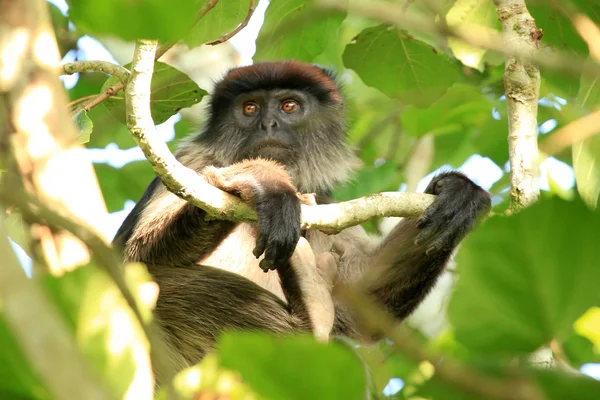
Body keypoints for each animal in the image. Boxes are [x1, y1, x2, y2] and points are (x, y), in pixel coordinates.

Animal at [113, 60, 492, 376]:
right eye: (249, 108)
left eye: (289, 106)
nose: (267, 123)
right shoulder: (191, 160)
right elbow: (132, 258)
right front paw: (265, 181)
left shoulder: (322, 200)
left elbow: (364, 309)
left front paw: (459, 192)